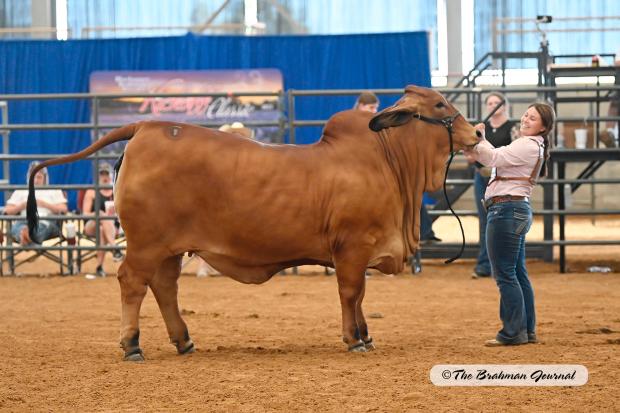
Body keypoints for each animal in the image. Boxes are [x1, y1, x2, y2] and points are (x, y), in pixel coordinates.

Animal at [27, 85, 480, 358]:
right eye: (440, 105)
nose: (476, 132)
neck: (389, 163)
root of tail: (147, 125)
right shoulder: (352, 248)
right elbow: (351, 293)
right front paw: (354, 339)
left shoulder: (357, 251)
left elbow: (361, 296)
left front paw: (365, 334)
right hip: (144, 244)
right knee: (132, 283)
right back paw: (132, 344)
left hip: (169, 249)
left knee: (165, 287)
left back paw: (184, 340)